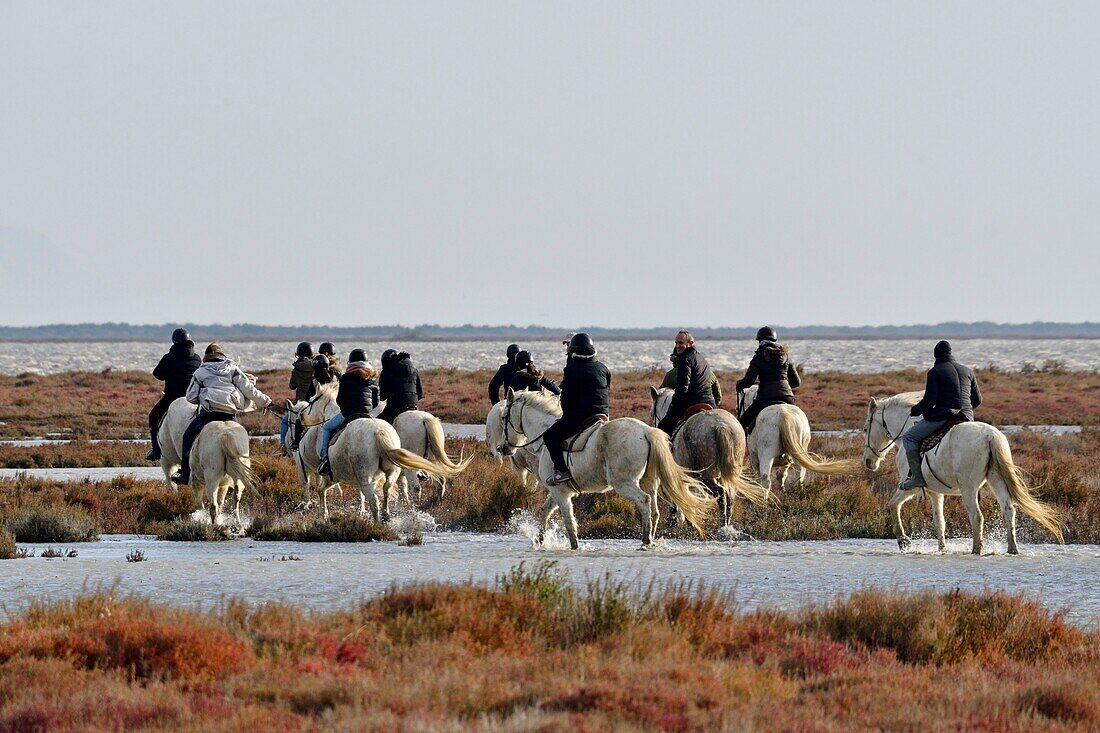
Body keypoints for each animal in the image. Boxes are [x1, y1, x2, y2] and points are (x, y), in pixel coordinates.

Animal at [157, 396, 255, 528]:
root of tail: (225, 436)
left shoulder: (195, 482)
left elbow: (200, 505)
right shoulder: (223, 485)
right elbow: (221, 503)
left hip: (208, 477)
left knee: (212, 505)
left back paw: (215, 527)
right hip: (236, 477)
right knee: (235, 499)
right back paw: (238, 525)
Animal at [286, 383, 462, 519]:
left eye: (310, 402)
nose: (293, 443)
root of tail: (425, 419)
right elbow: (399, 488)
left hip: (410, 467)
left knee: (416, 488)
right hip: (430, 461)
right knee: (441, 480)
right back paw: (433, 503)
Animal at [499, 387, 712, 548]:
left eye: (503, 418)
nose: (503, 448)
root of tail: (646, 431)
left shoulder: (560, 492)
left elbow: (569, 521)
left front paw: (574, 546)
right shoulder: (557, 491)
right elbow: (544, 512)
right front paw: (540, 541)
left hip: (624, 483)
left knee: (643, 501)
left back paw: (645, 541)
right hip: (649, 482)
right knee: (654, 510)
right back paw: (650, 540)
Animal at [858, 391, 1064, 550]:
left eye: (866, 428)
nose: (868, 461)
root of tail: (990, 436)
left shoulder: (910, 487)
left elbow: (893, 505)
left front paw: (903, 541)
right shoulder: (935, 492)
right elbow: (939, 522)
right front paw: (942, 549)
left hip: (968, 488)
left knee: (977, 517)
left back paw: (976, 549)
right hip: (996, 480)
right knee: (1008, 510)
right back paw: (1012, 549)